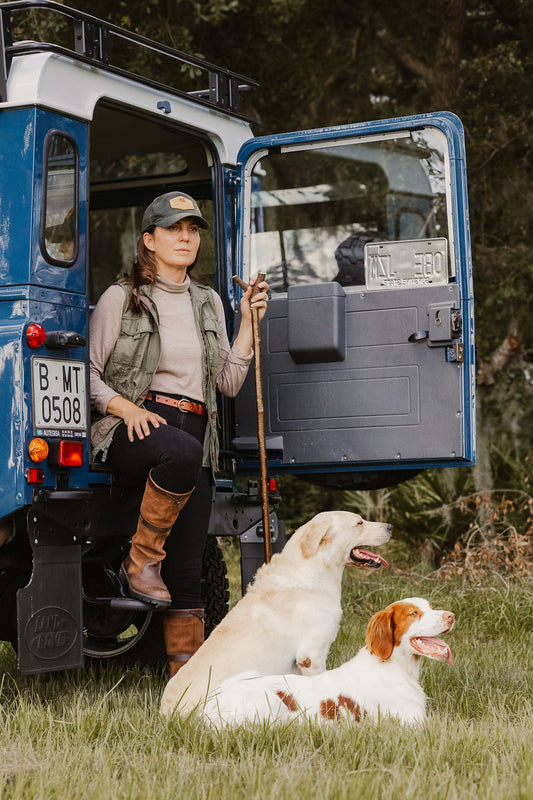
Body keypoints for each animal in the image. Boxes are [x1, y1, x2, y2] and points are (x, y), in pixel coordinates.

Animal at [203, 596, 454, 728]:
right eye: (414, 613)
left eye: (431, 607)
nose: (451, 616)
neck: (394, 667)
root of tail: (209, 705)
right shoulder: (412, 723)